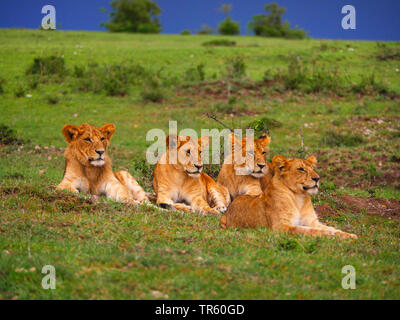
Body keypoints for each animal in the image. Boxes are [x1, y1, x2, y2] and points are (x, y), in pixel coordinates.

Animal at [220, 154, 358, 239]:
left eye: (312, 168)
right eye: (301, 169)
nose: (317, 178)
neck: (299, 198)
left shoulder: (312, 221)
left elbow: (333, 228)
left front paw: (349, 235)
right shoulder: (281, 227)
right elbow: (306, 230)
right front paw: (328, 234)